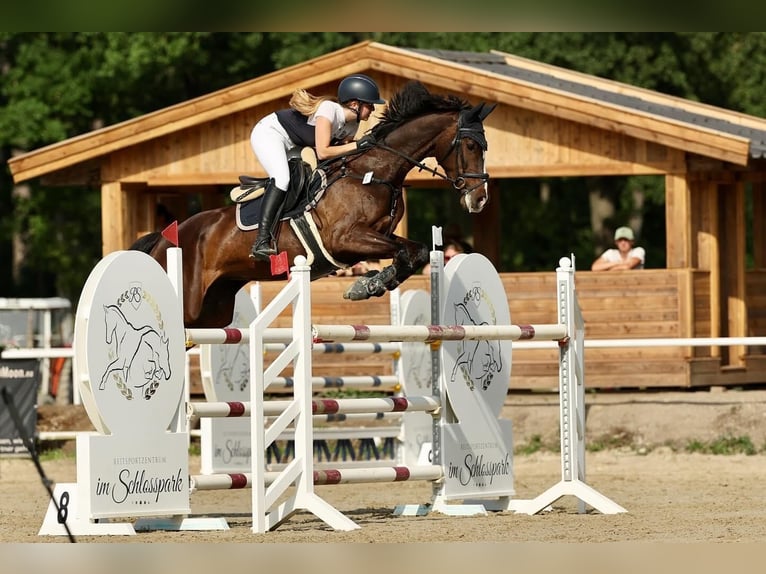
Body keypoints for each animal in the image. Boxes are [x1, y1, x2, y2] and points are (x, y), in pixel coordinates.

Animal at [131, 81, 496, 329]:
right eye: (469, 145)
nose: (479, 199)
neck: (375, 173)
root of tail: (163, 238)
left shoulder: (374, 237)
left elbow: (414, 251)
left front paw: (373, 283)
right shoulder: (345, 238)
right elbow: (407, 250)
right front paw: (370, 284)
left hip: (213, 310)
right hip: (189, 305)